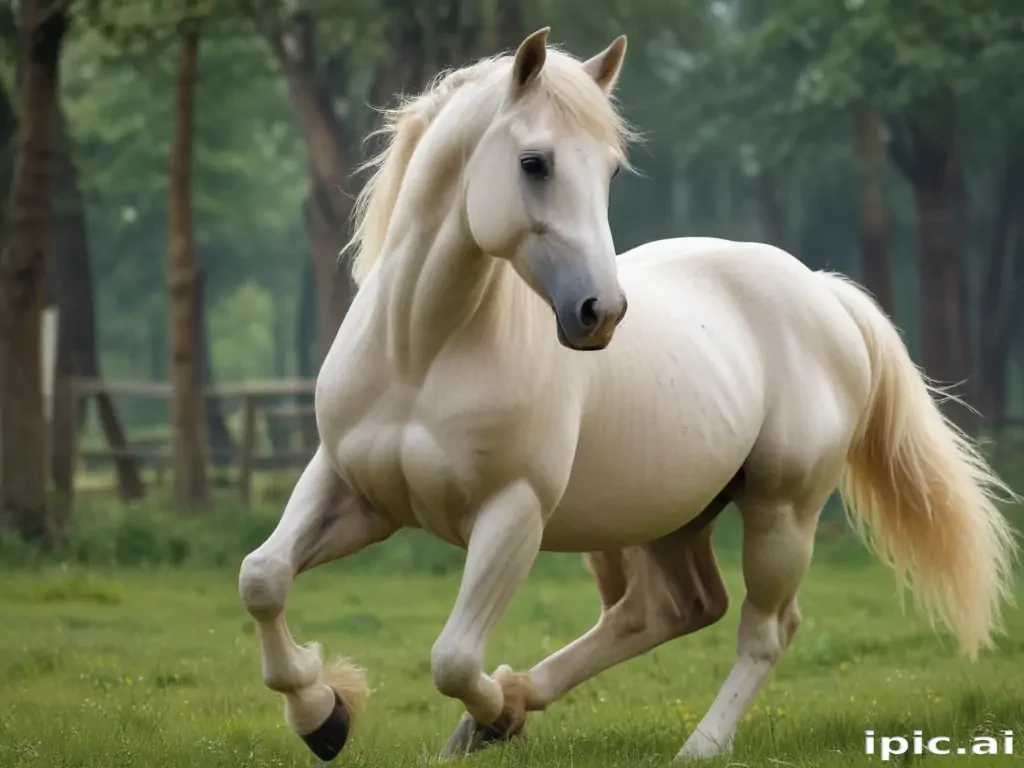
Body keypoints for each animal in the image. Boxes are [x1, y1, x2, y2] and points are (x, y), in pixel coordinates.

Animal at [238, 27, 1018, 763]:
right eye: (535, 163)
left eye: (611, 169)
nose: (600, 313)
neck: (420, 355)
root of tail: (824, 293)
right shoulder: (352, 489)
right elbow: (262, 578)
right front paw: (325, 714)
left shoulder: (512, 513)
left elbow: (453, 659)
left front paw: (484, 714)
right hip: (672, 516)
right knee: (669, 610)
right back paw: (511, 703)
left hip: (781, 510)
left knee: (764, 630)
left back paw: (694, 745)